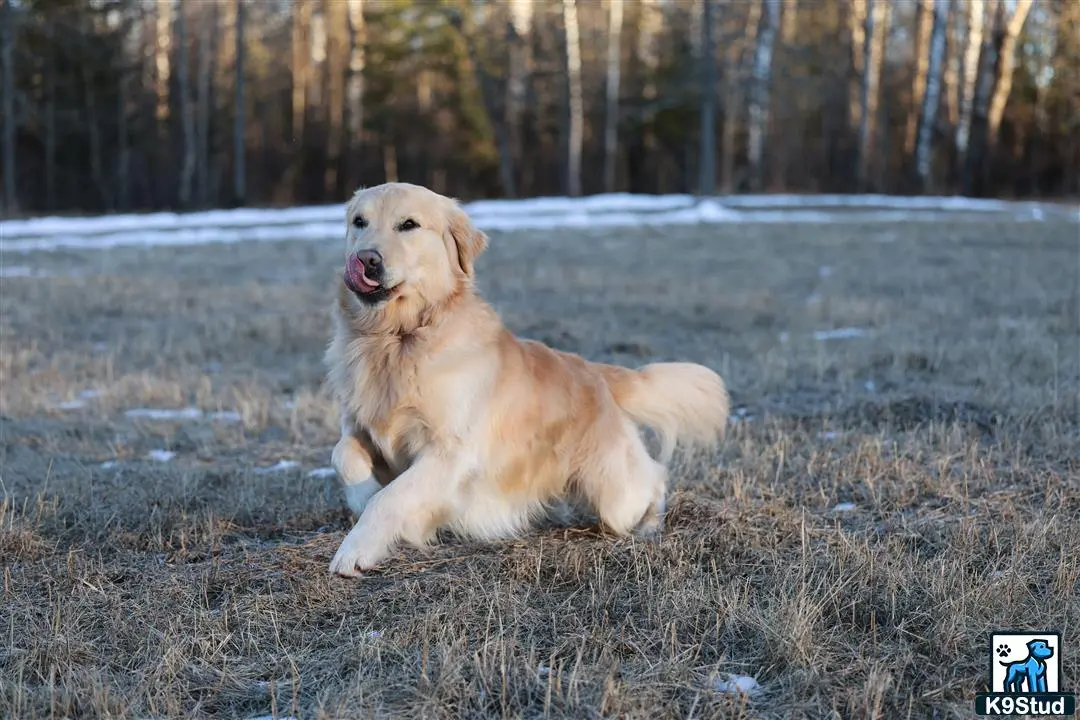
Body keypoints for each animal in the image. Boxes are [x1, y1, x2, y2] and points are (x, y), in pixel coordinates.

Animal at [319, 183, 725, 578]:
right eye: (359, 222)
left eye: (409, 225)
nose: (366, 259)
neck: (397, 338)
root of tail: (594, 372)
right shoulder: (360, 426)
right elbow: (343, 455)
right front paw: (362, 495)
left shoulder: (449, 454)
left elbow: (390, 498)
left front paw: (355, 550)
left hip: (613, 490)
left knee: (654, 478)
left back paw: (651, 525)